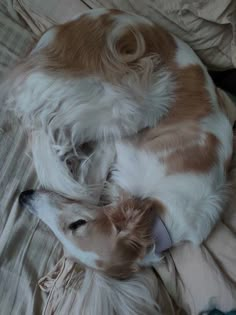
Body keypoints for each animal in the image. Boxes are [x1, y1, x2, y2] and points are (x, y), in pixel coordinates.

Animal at [2, 8, 234, 312]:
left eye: (76, 226)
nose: (24, 197)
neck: (162, 213)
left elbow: (90, 188)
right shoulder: (121, 146)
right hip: (138, 100)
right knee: (41, 120)